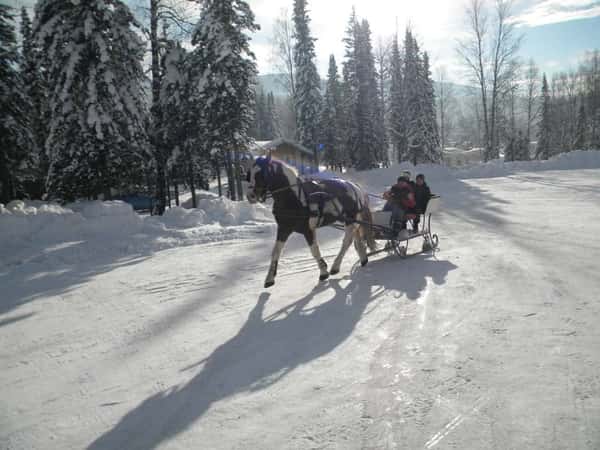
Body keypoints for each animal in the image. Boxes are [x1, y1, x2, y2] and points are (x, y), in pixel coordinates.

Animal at [244, 156, 376, 288]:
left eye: (261, 174)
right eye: (249, 174)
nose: (250, 196)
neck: (294, 198)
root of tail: (354, 186)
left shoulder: (308, 229)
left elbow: (314, 250)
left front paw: (323, 272)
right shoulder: (284, 228)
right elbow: (276, 251)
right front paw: (269, 278)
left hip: (350, 219)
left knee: (347, 241)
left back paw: (336, 266)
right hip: (349, 219)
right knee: (355, 236)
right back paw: (363, 259)